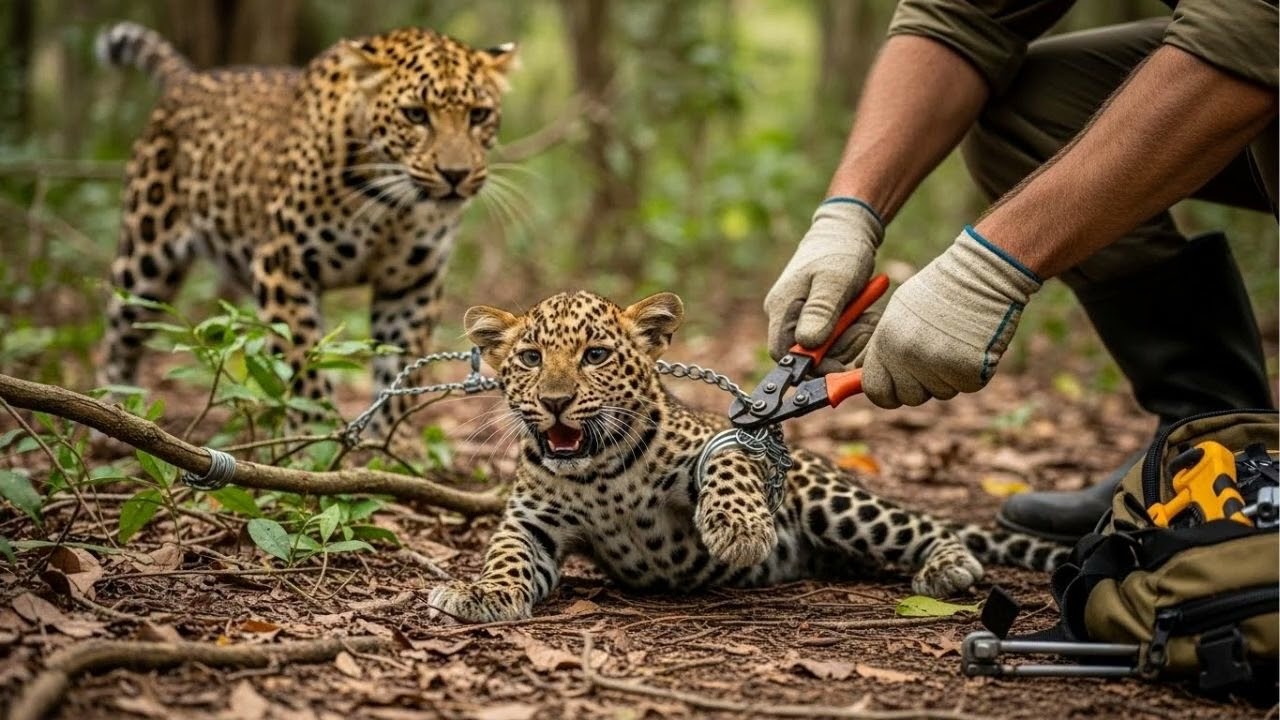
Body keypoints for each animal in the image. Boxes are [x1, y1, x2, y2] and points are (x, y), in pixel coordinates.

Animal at [94, 22, 516, 439]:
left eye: (479, 115)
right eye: (415, 115)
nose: (456, 175)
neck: (391, 206)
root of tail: (187, 79)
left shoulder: (411, 283)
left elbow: (401, 364)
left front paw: (391, 441)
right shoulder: (283, 266)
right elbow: (302, 361)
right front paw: (314, 435)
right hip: (145, 259)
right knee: (118, 336)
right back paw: (113, 415)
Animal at [428, 290, 1068, 623]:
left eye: (597, 355)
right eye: (531, 358)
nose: (555, 402)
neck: (599, 474)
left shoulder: (732, 441)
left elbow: (729, 464)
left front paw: (737, 529)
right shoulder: (532, 524)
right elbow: (507, 556)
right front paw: (479, 593)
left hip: (833, 501)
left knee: (920, 526)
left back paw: (947, 565)